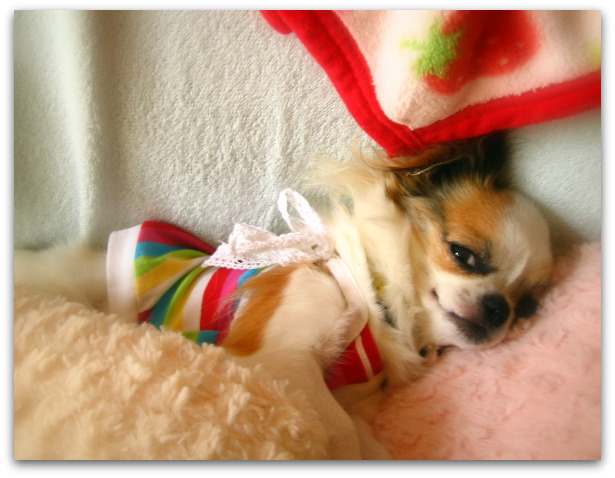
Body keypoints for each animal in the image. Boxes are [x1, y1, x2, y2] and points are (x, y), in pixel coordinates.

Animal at [14, 133, 553, 459]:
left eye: (527, 305)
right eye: (462, 254)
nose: (499, 309)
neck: (373, 303)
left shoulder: (352, 396)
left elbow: (360, 435)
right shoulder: (281, 359)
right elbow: (335, 428)